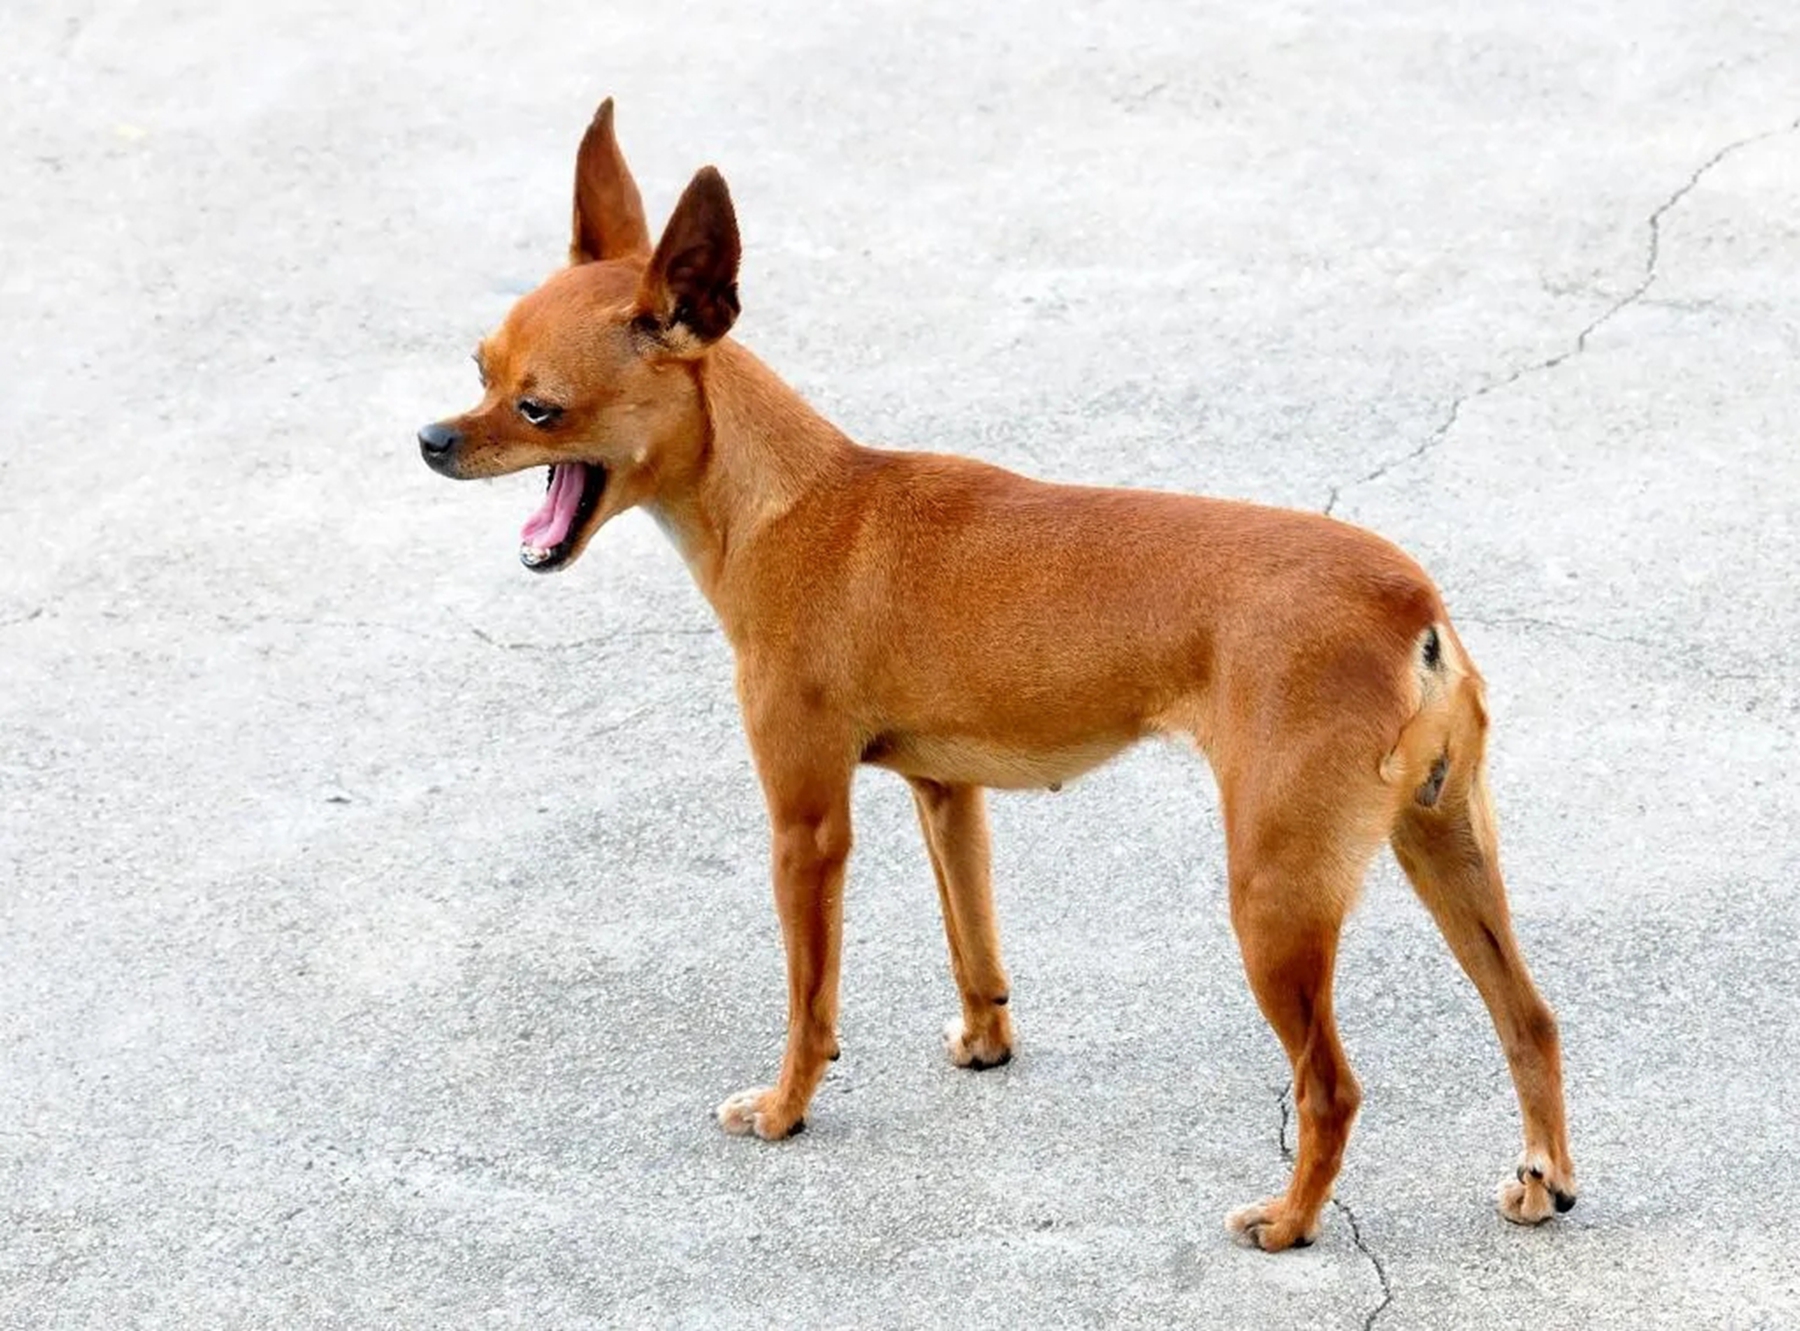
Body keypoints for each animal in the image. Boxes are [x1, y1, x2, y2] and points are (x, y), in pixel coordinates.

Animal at [421, 101, 1576, 1246]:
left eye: (538, 408)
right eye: (479, 369)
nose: (430, 439)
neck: (788, 499)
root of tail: (1413, 610)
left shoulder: (807, 825)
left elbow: (809, 994)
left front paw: (787, 1107)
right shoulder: (948, 794)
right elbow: (970, 936)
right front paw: (985, 1042)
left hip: (1275, 897)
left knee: (1330, 1085)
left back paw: (1290, 1219)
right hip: (1446, 848)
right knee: (1529, 1015)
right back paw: (1543, 1176)